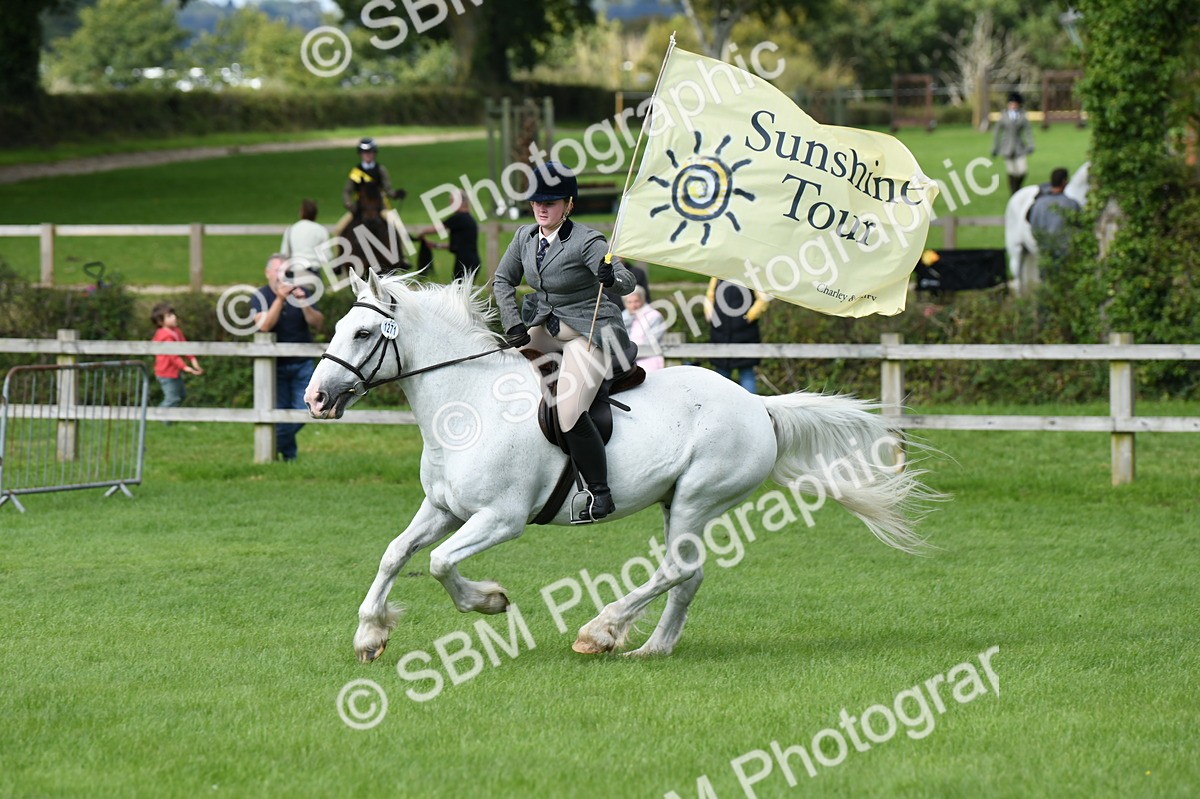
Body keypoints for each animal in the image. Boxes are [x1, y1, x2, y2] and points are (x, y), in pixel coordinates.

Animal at [304, 271, 936, 661]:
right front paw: (369, 635)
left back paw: (600, 631)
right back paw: (651, 648)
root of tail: (758, 406)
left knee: (676, 569)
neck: (467, 406)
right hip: (676, 502)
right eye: (337, 328)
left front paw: (489, 600)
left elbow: (438, 564)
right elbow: (395, 554)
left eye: (363, 332)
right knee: (689, 574)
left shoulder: (500, 519)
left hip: (699, 495)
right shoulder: (443, 507)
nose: (316, 398)